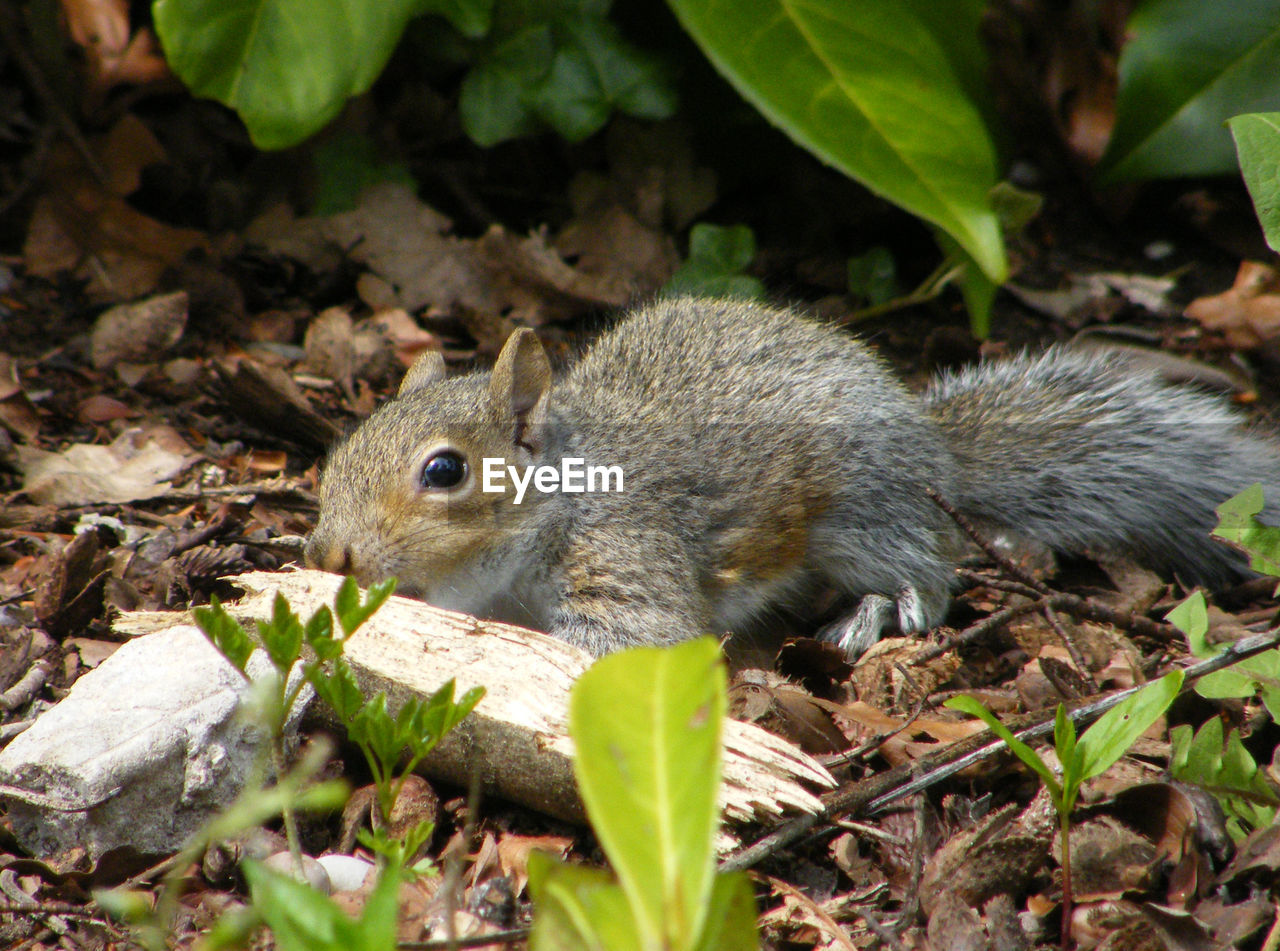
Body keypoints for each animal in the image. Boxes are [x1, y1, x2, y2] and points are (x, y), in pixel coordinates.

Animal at [302, 296, 1280, 655]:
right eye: (340, 452)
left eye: (444, 470)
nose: (330, 556)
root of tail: (932, 445)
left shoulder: (629, 561)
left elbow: (631, 644)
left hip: (864, 514)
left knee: (931, 570)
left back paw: (876, 613)